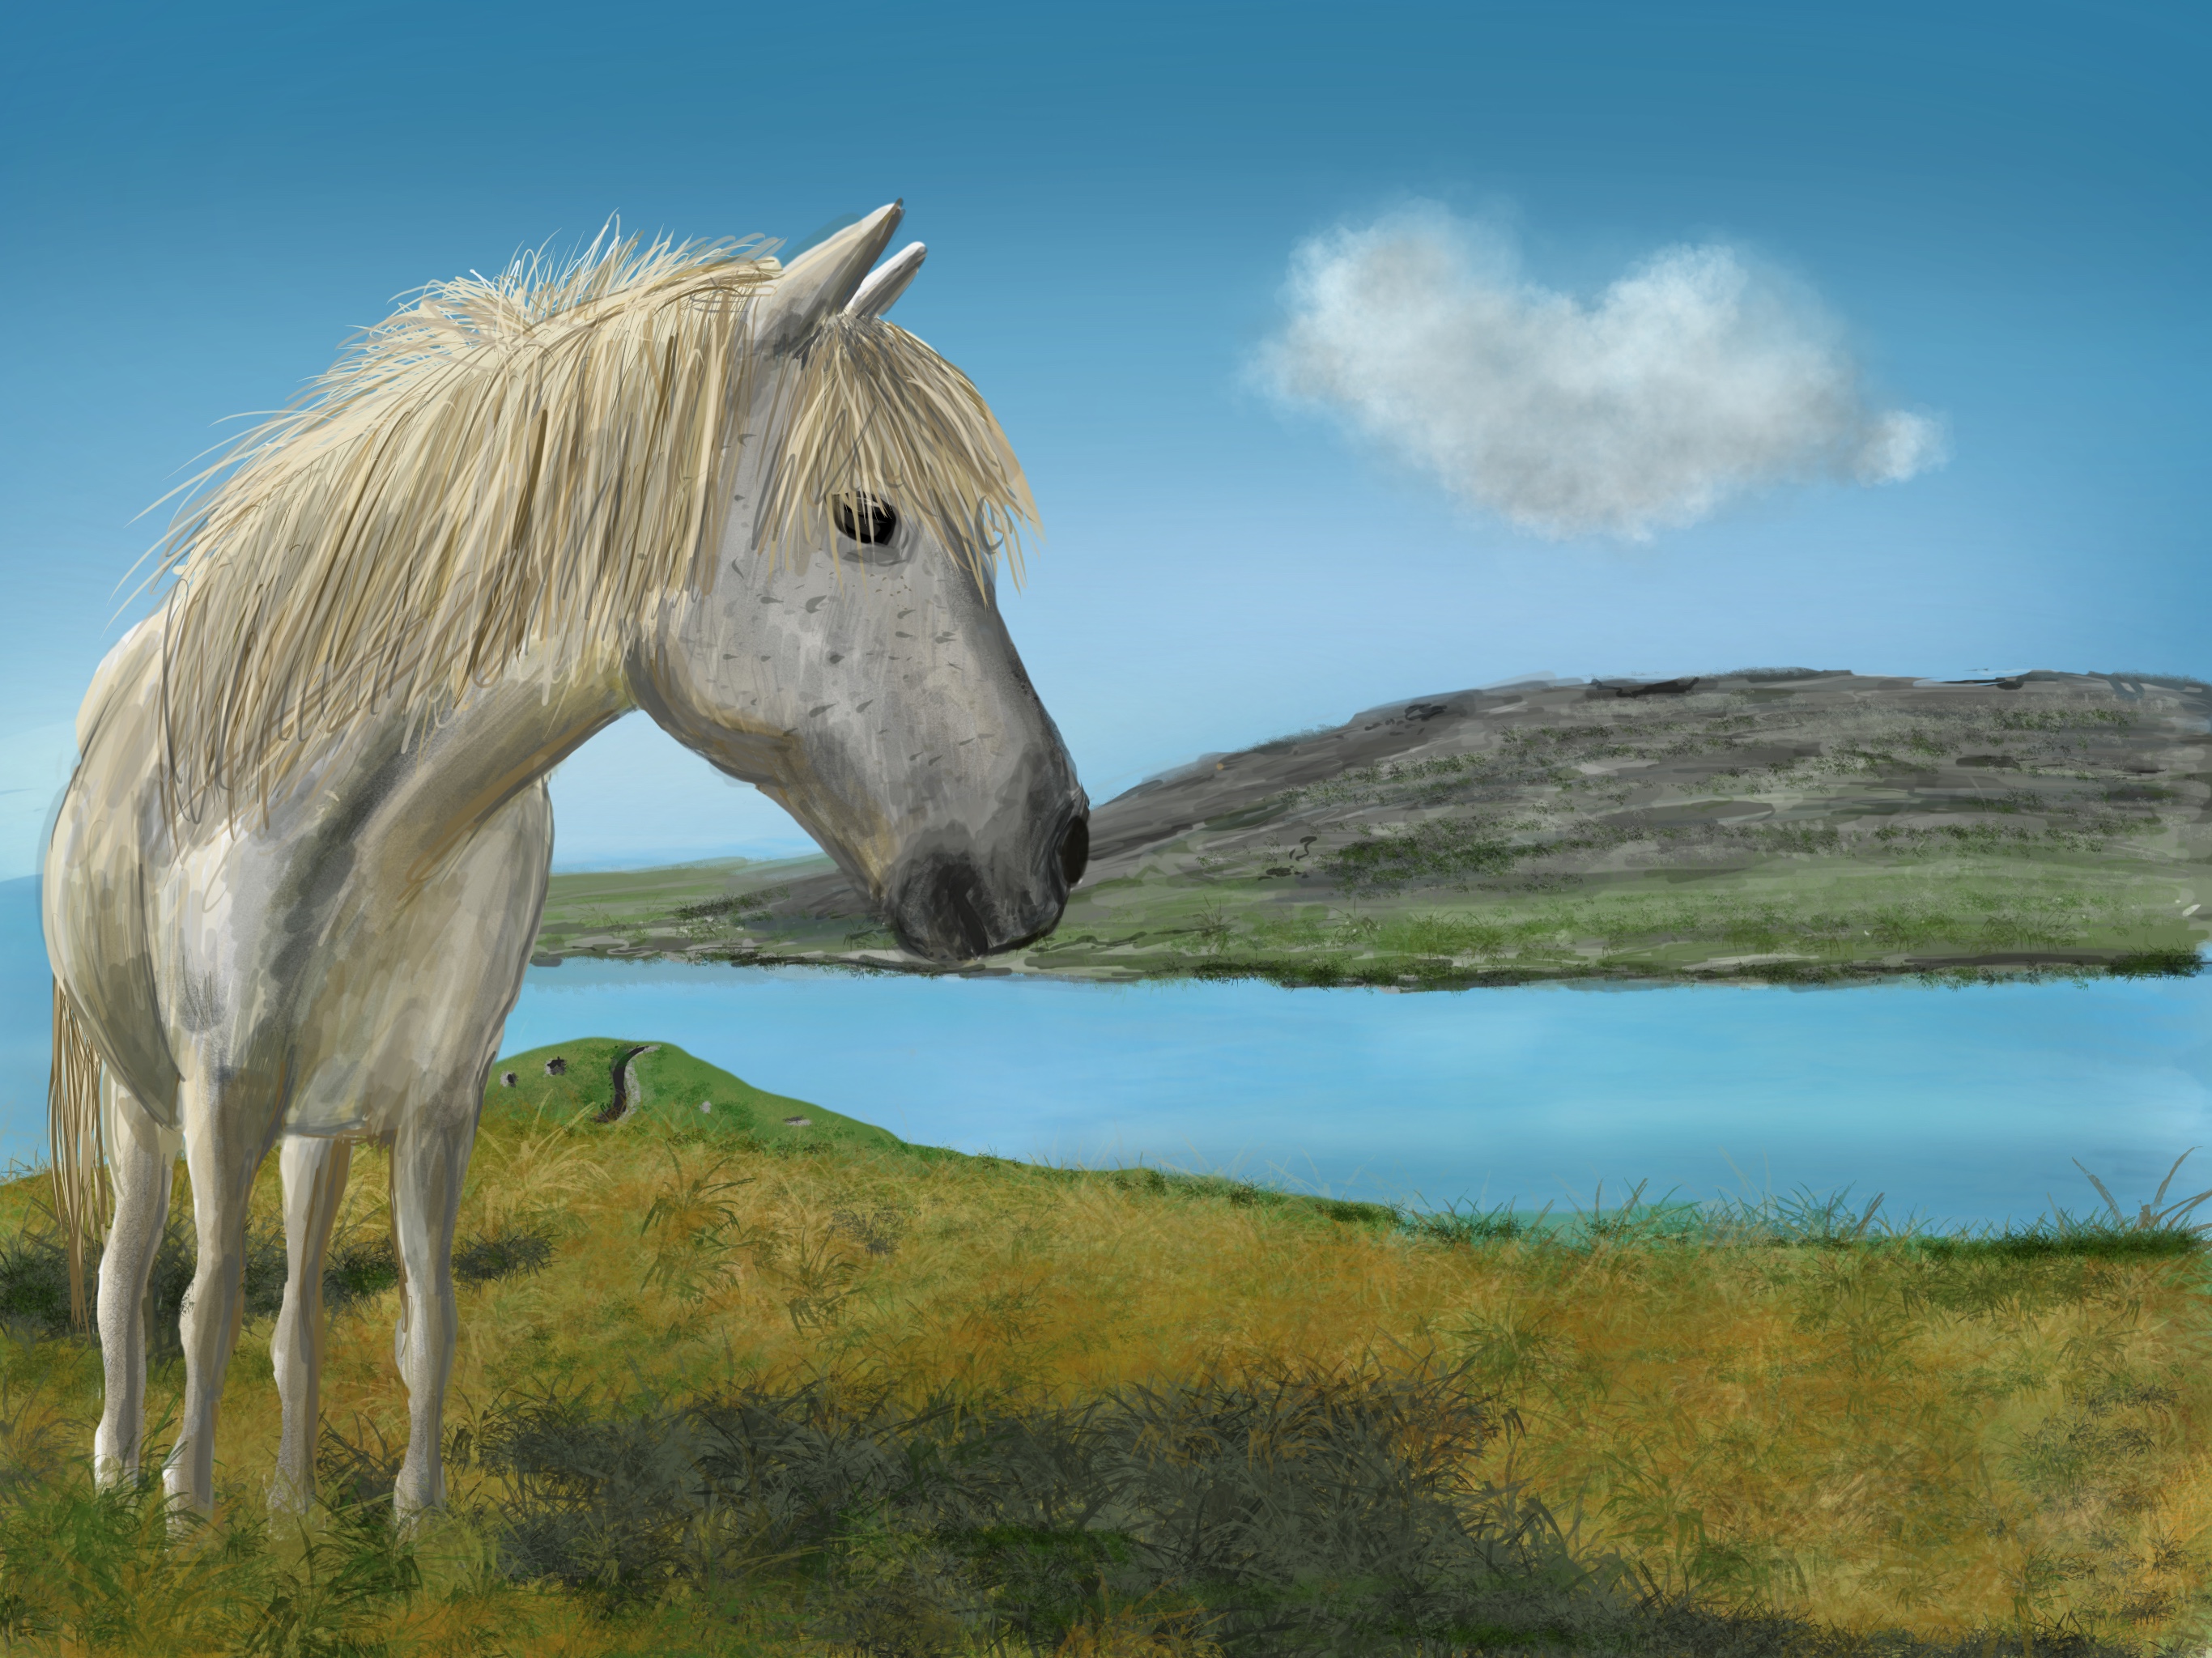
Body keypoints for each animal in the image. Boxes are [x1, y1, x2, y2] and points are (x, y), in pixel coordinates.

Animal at [42, 200, 1089, 1518]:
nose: (1057, 846)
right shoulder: (218, 1090)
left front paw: (408, 1525)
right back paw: (121, 1469)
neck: (374, 834)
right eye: (867, 517)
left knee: (297, 1309)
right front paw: (188, 1525)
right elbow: (204, 1307)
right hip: (141, 1097)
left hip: (316, 1120)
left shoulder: (436, 1102)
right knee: (128, 1276)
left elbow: (419, 1318)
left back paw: (288, 1504)